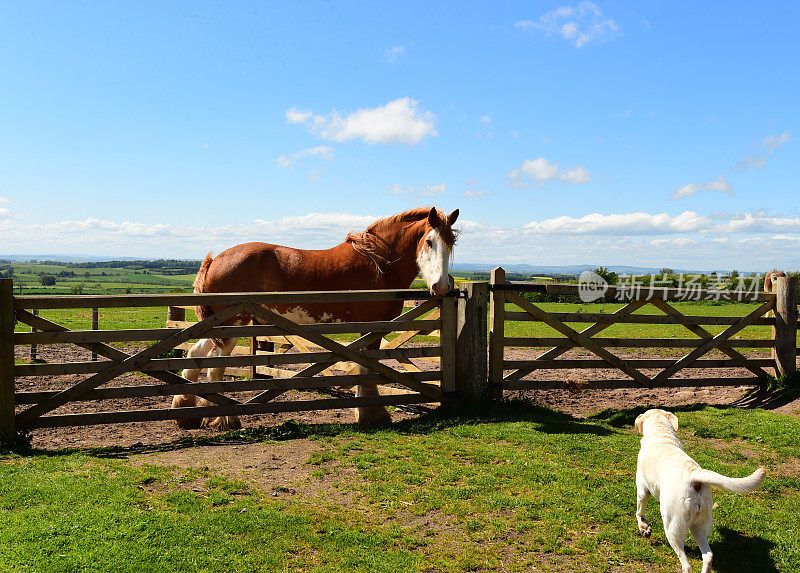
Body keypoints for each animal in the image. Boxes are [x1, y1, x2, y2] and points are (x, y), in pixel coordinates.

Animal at [173, 206, 462, 428]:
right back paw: (226, 420)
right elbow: (368, 371)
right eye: (429, 242)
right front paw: (372, 415)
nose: (441, 287)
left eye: (451, 244)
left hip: (217, 325)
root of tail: (215, 260)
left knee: (196, 355)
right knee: (215, 367)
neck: (380, 264)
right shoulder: (373, 328)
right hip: (232, 324)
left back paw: (186, 410)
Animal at [636, 406, 764, 572]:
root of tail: (694, 475)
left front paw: (644, 528)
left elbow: (640, 512)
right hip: (699, 526)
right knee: (708, 556)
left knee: (686, 564)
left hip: (673, 527)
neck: (660, 432)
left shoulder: (642, 489)